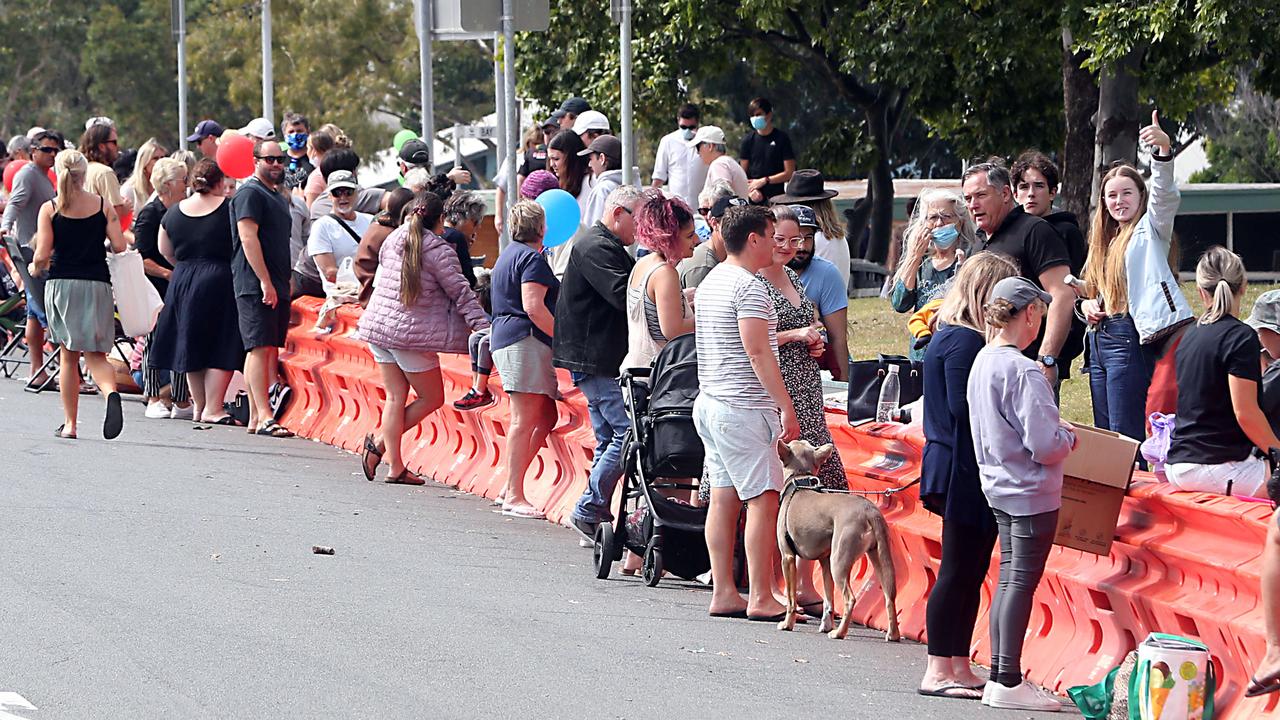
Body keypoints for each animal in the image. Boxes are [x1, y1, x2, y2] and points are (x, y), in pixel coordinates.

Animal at [778, 438, 901, 638]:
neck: (800, 481)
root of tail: (869, 510)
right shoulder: (825, 562)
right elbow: (829, 599)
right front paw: (826, 624)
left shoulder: (787, 558)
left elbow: (791, 599)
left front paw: (788, 624)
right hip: (877, 559)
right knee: (889, 596)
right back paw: (893, 634)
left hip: (839, 562)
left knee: (850, 598)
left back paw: (839, 633)